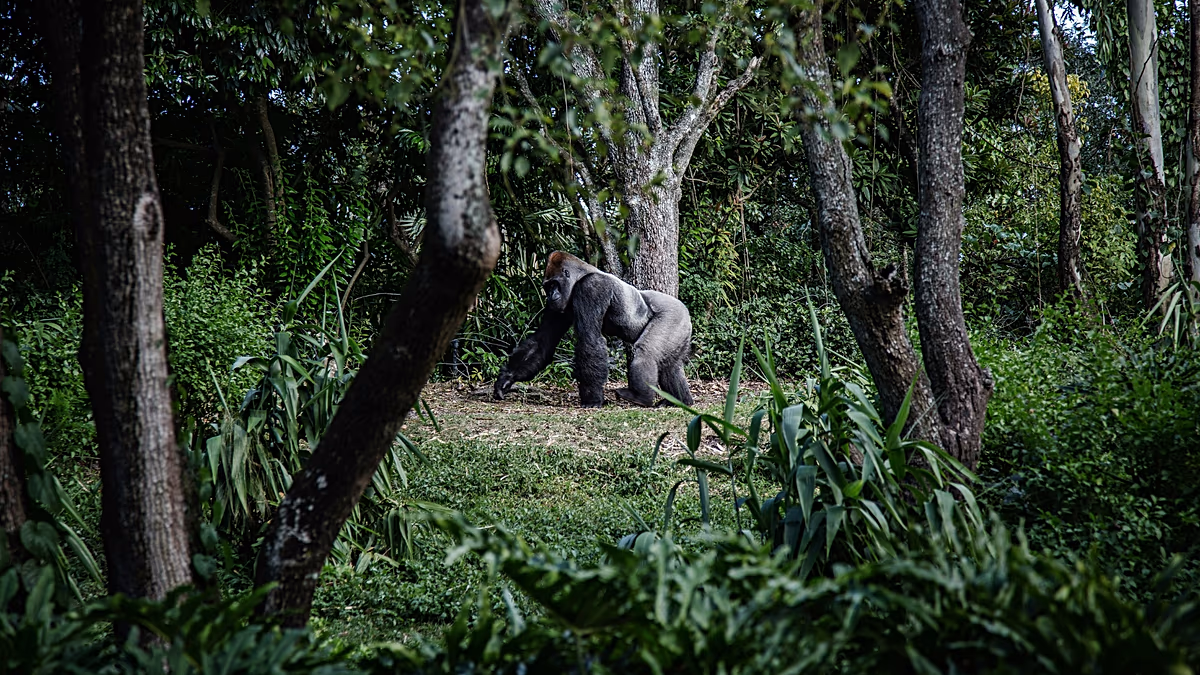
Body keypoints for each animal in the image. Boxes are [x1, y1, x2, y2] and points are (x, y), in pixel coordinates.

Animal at [493, 251, 694, 408]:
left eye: (554, 284)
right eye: (547, 286)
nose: (550, 296)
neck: (581, 275)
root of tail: (685, 310)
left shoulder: (591, 288)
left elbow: (589, 339)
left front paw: (592, 399)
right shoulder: (558, 306)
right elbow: (542, 342)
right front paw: (507, 378)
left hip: (673, 315)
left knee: (646, 352)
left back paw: (641, 397)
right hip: (681, 327)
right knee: (670, 365)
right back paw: (680, 400)